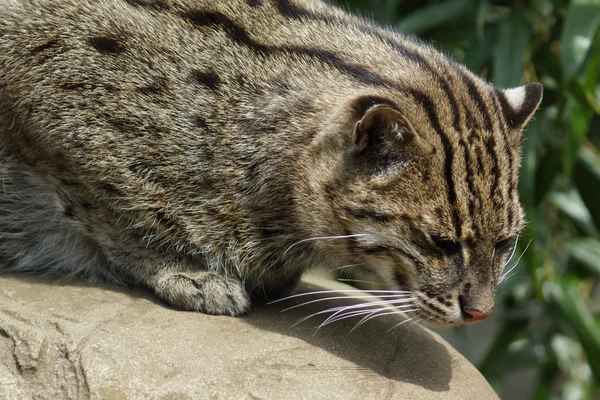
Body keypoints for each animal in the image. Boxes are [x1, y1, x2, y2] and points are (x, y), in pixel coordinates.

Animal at [0, 0, 544, 324]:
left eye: (505, 243)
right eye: (440, 243)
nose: (481, 314)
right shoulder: (47, 120)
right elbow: (113, 212)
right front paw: (185, 273)